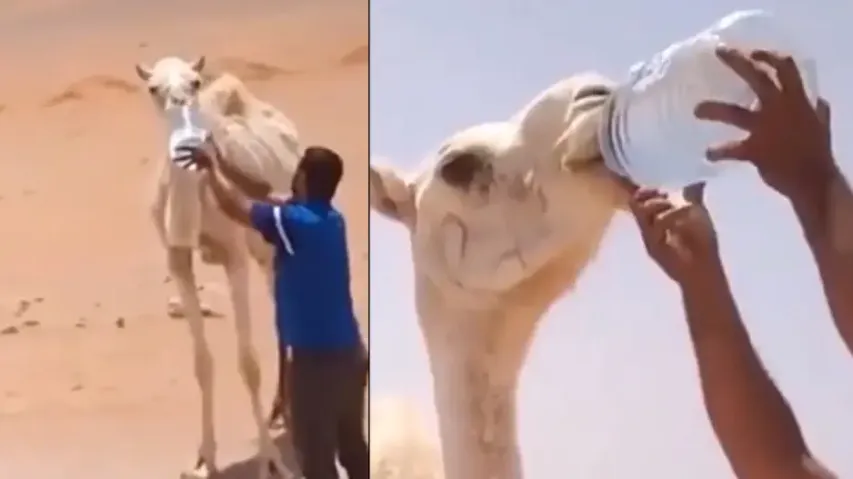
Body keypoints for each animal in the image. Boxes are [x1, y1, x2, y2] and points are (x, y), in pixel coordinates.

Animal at [135, 56, 300, 479]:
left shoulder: (235, 255)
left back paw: (286, 414)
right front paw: (203, 459)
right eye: (152, 88)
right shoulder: (178, 259)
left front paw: (269, 461)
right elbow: (202, 363)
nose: (190, 142)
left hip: (269, 248)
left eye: (195, 81)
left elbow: (248, 363)